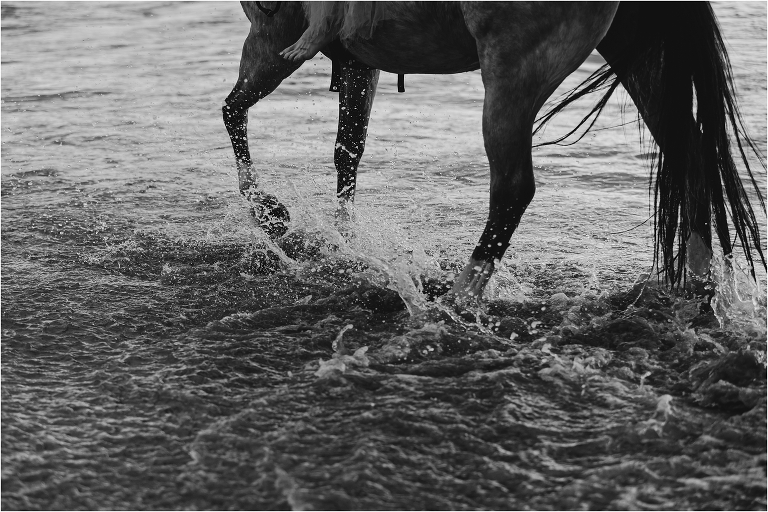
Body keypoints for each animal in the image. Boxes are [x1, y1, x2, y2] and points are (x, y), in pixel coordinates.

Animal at [223, 1, 766, 300]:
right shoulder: (360, 58)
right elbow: (347, 150)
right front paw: (345, 240)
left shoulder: (275, 35)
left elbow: (232, 112)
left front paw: (270, 213)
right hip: (640, 54)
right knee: (689, 154)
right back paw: (701, 280)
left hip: (513, 71)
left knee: (512, 189)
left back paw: (457, 300)